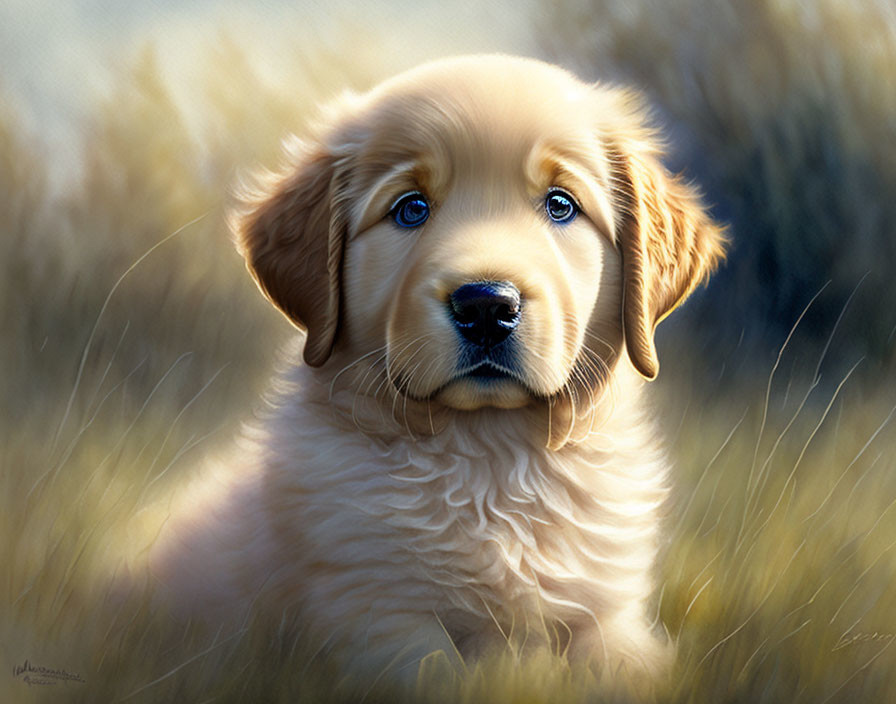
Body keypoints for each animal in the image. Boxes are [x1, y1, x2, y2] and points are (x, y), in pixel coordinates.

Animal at [149, 55, 720, 688]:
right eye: (411, 209)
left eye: (561, 205)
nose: (486, 305)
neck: (491, 459)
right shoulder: (372, 614)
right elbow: (436, 671)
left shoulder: (609, 614)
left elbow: (627, 664)